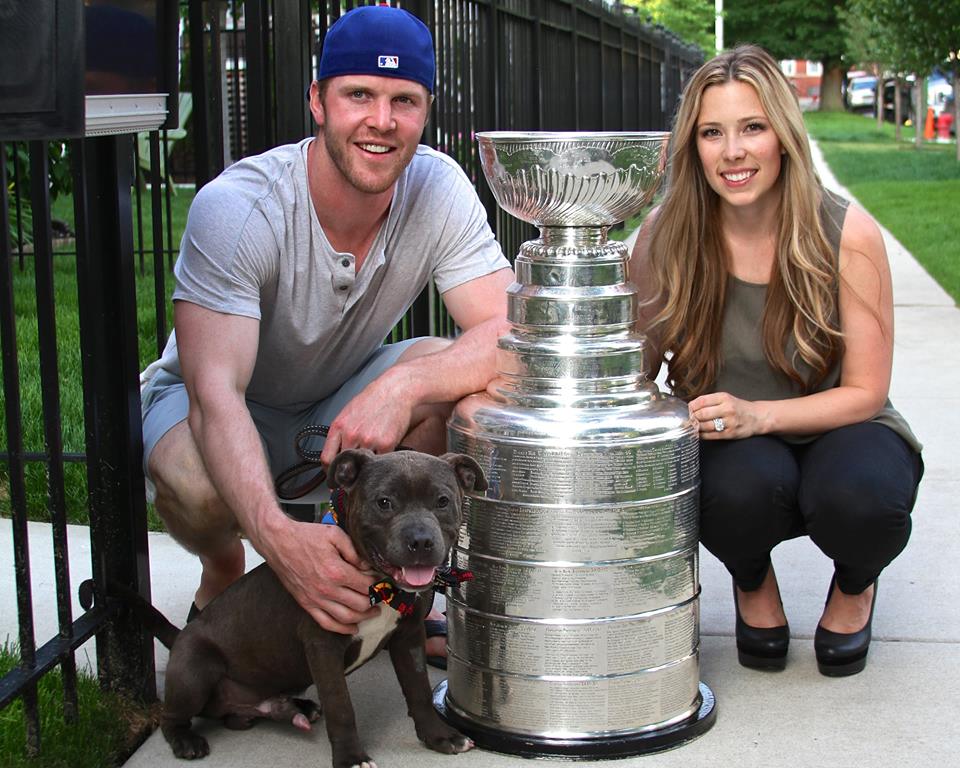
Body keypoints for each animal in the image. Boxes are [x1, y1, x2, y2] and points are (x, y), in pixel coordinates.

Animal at [104, 449, 485, 768]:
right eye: (384, 502)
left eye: (442, 501)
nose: (421, 541)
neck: (380, 586)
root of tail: (181, 636)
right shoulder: (324, 646)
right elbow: (341, 706)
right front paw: (351, 758)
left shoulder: (408, 638)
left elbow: (418, 691)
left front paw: (439, 736)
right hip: (195, 671)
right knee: (172, 715)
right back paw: (185, 740)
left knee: (240, 715)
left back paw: (294, 708)